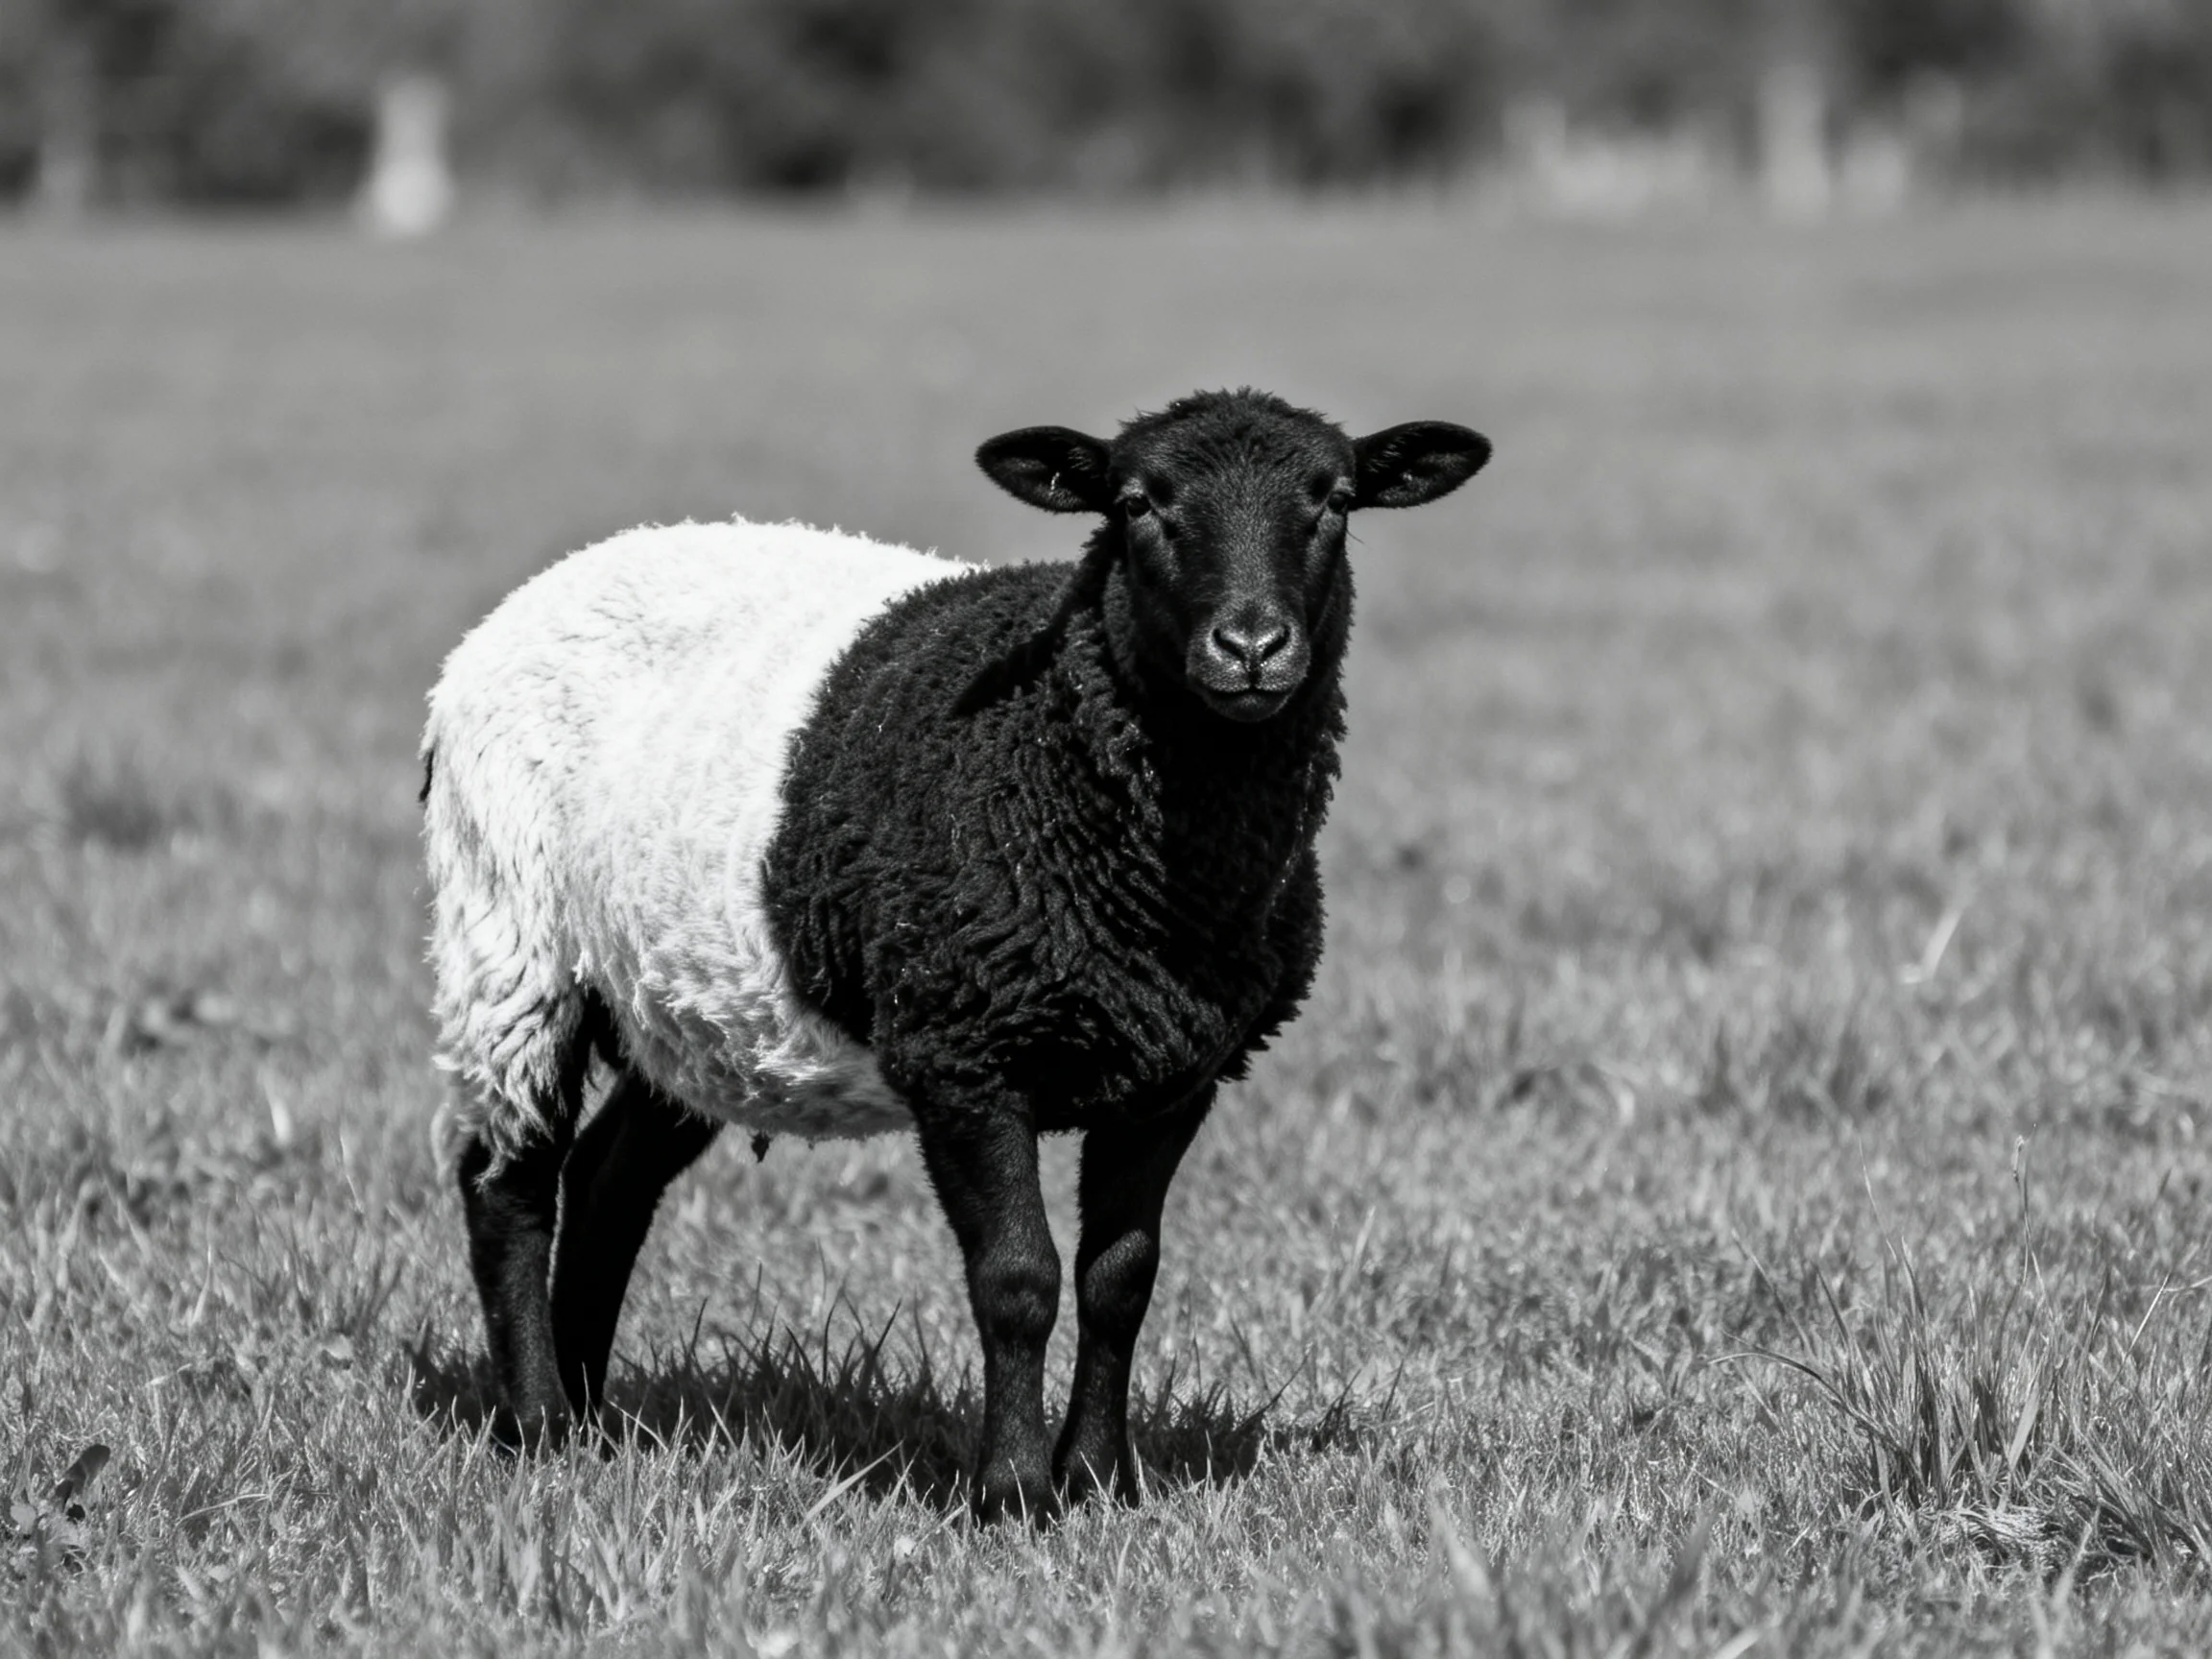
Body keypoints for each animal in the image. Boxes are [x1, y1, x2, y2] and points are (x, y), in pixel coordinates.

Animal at [421, 389, 1490, 1519]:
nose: (1251, 646)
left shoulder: (1174, 1076)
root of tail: (546, 586)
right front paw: (1014, 1493)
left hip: (685, 1001)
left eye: (1334, 500)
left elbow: (1122, 1279)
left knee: (608, 1180)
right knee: (507, 1182)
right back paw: (535, 1425)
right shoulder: (963, 1051)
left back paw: (588, 1420)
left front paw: (1098, 1480)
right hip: (511, 935)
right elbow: (1019, 1280)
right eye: (1137, 503)